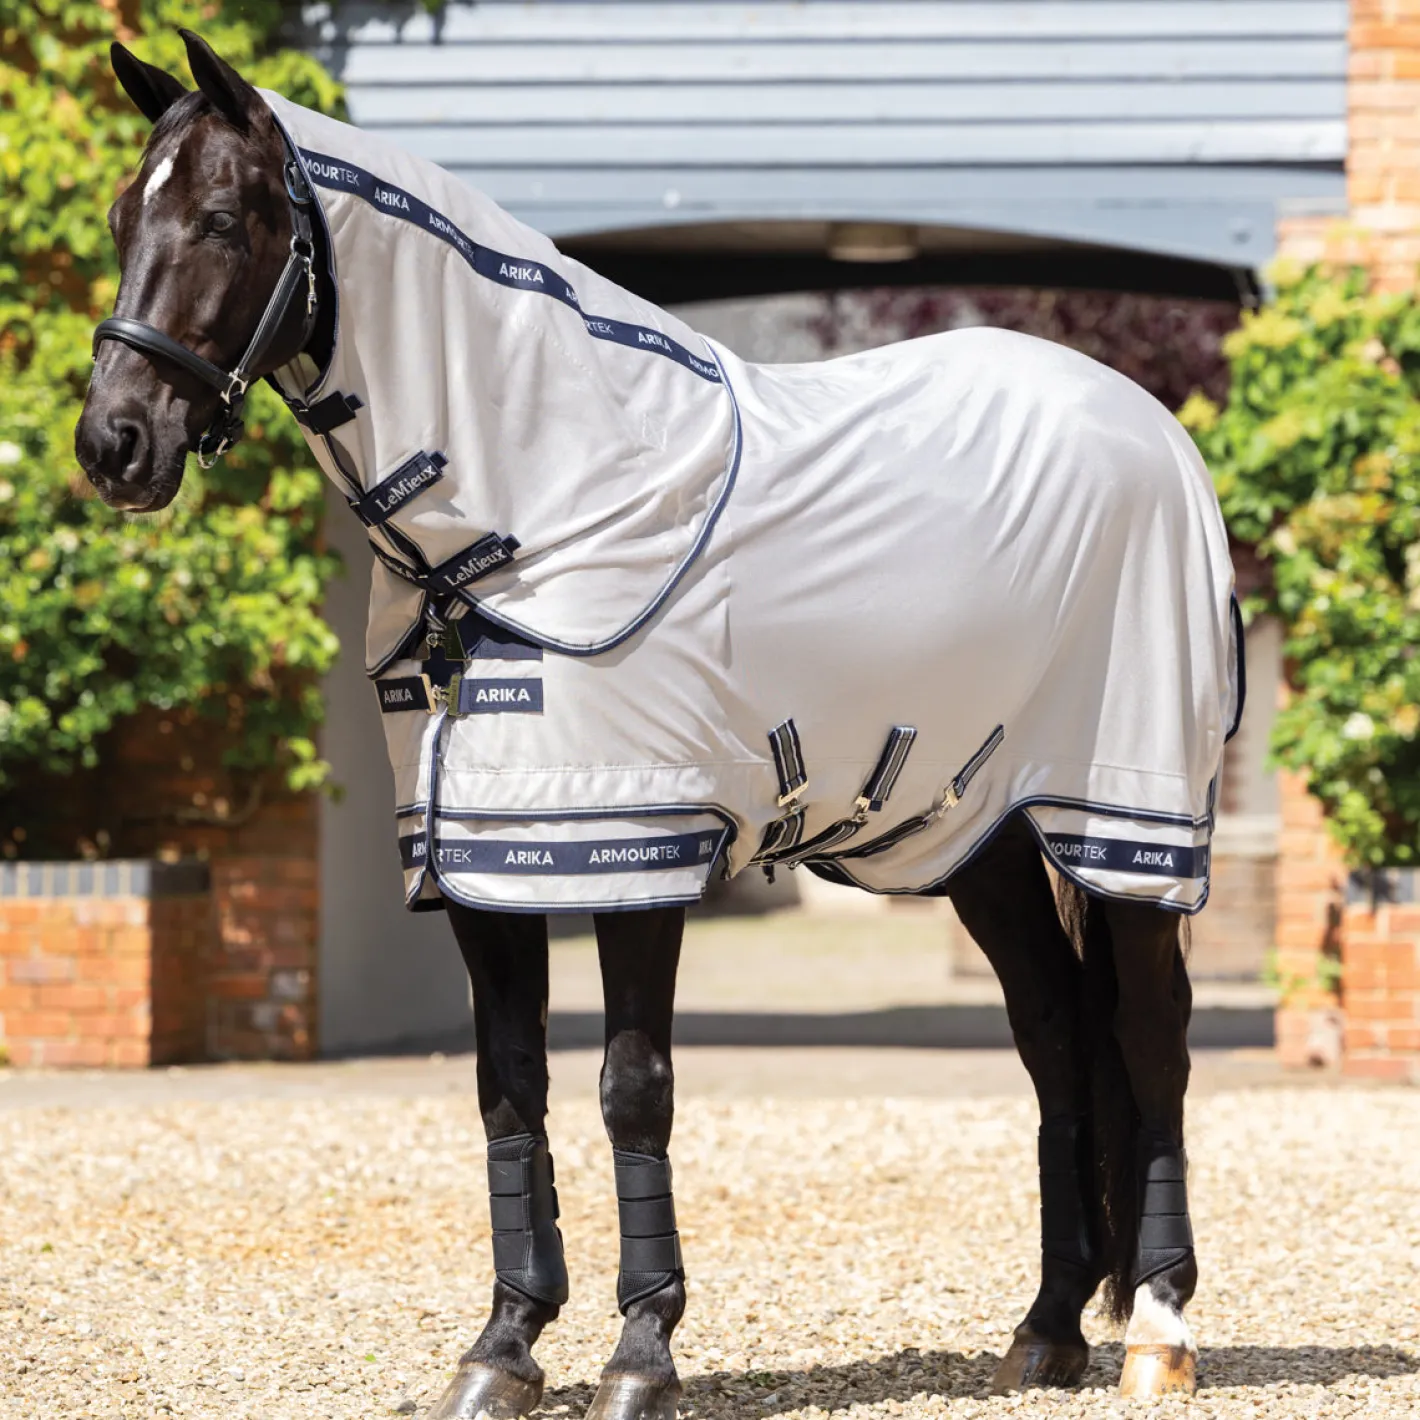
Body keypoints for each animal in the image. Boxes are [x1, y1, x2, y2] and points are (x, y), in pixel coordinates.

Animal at [76, 30, 1235, 1417]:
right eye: (119, 214)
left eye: (219, 217)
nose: (113, 443)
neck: (541, 504)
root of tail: (1149, 426)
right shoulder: (483, 866)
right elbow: (508, 1089)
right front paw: (504, 1343)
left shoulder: (635, 847)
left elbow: (632, 1091)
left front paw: (641, 1350)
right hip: (986, 840)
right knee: (1056, 1037)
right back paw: (1049, 1327)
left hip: (1124, 825)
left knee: (1150, 1040)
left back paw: (1156, 1329)